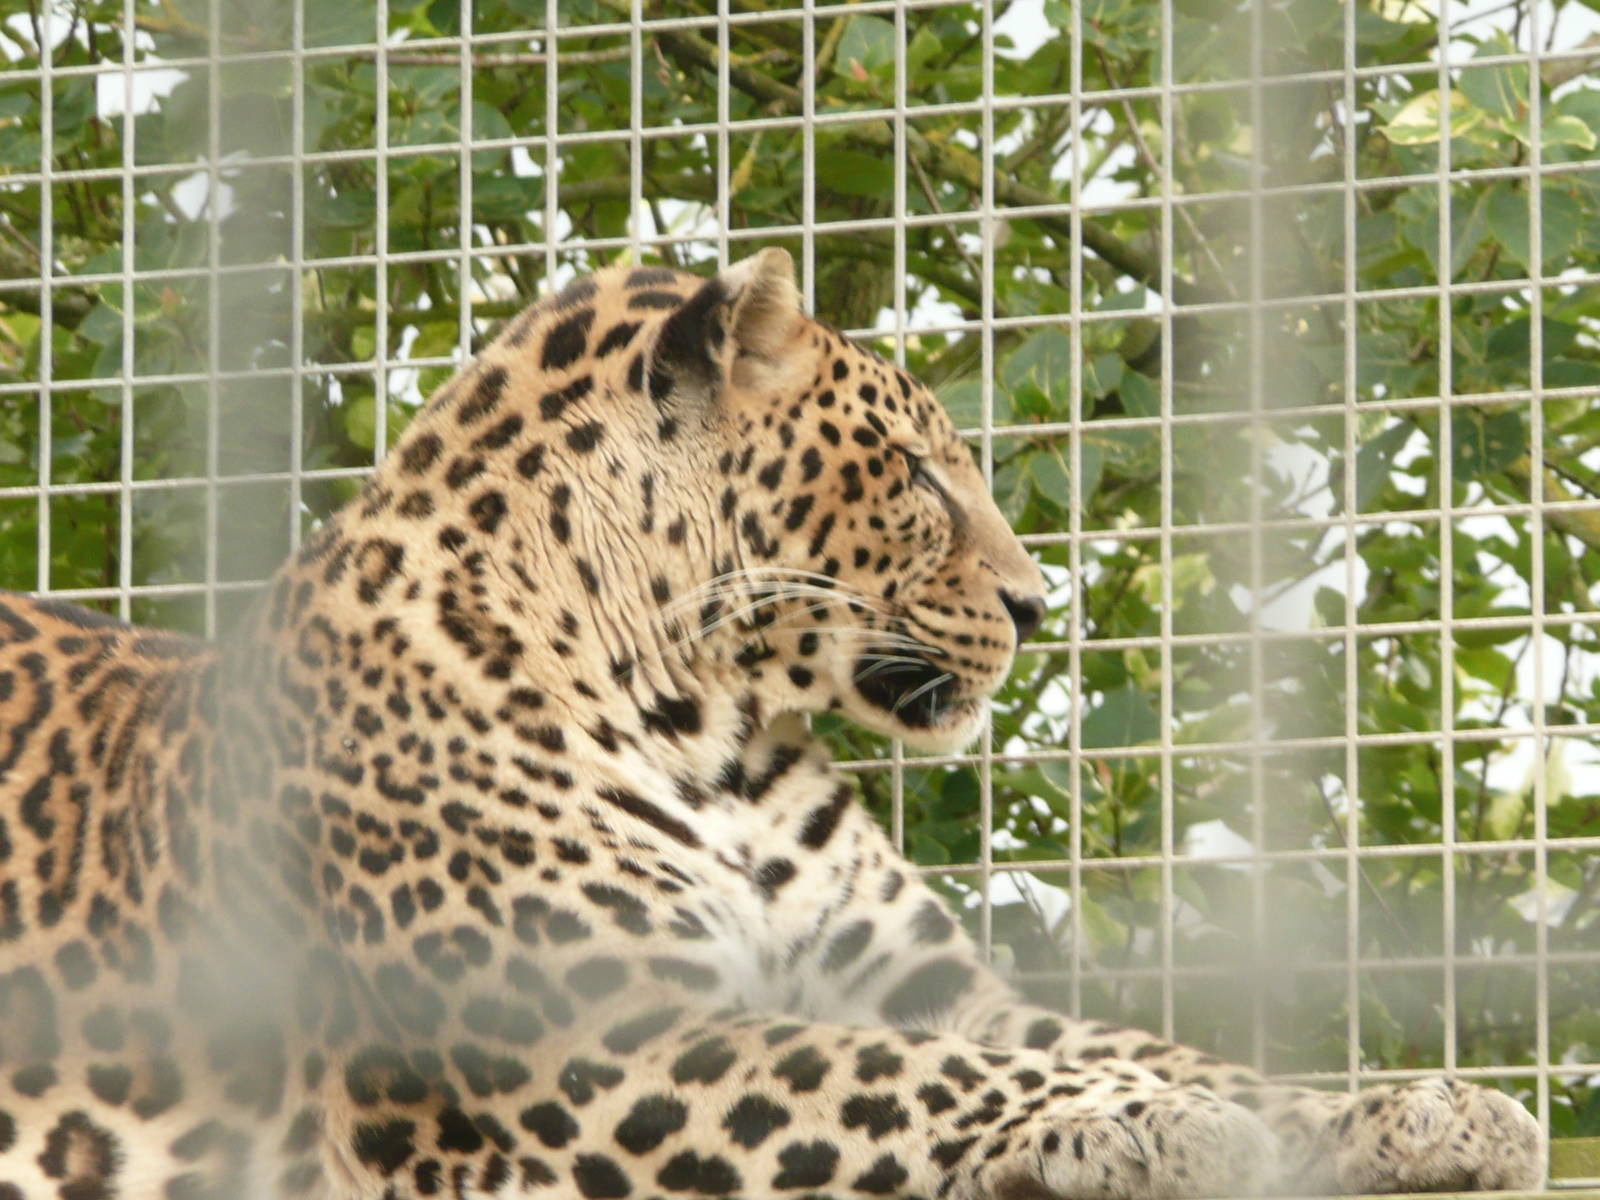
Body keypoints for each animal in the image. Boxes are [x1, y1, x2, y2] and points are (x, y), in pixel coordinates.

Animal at [0, 248, 1541, 1199]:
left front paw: (1421, 1111)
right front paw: (1132, 1120)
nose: (1040, 606)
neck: (712, 730)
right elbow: (902, 1079)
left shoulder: (929, 985)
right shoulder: (593, 1044)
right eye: (914, 472)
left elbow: (1107, 1045)